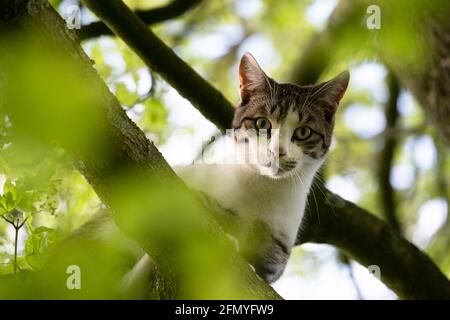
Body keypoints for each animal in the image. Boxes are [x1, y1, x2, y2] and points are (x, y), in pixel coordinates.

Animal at [174, 52, 350, 282]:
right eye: (262, 123)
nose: (277, 150)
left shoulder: (280, 246)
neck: (264, 188)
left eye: (303, 132)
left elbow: (268, 260)